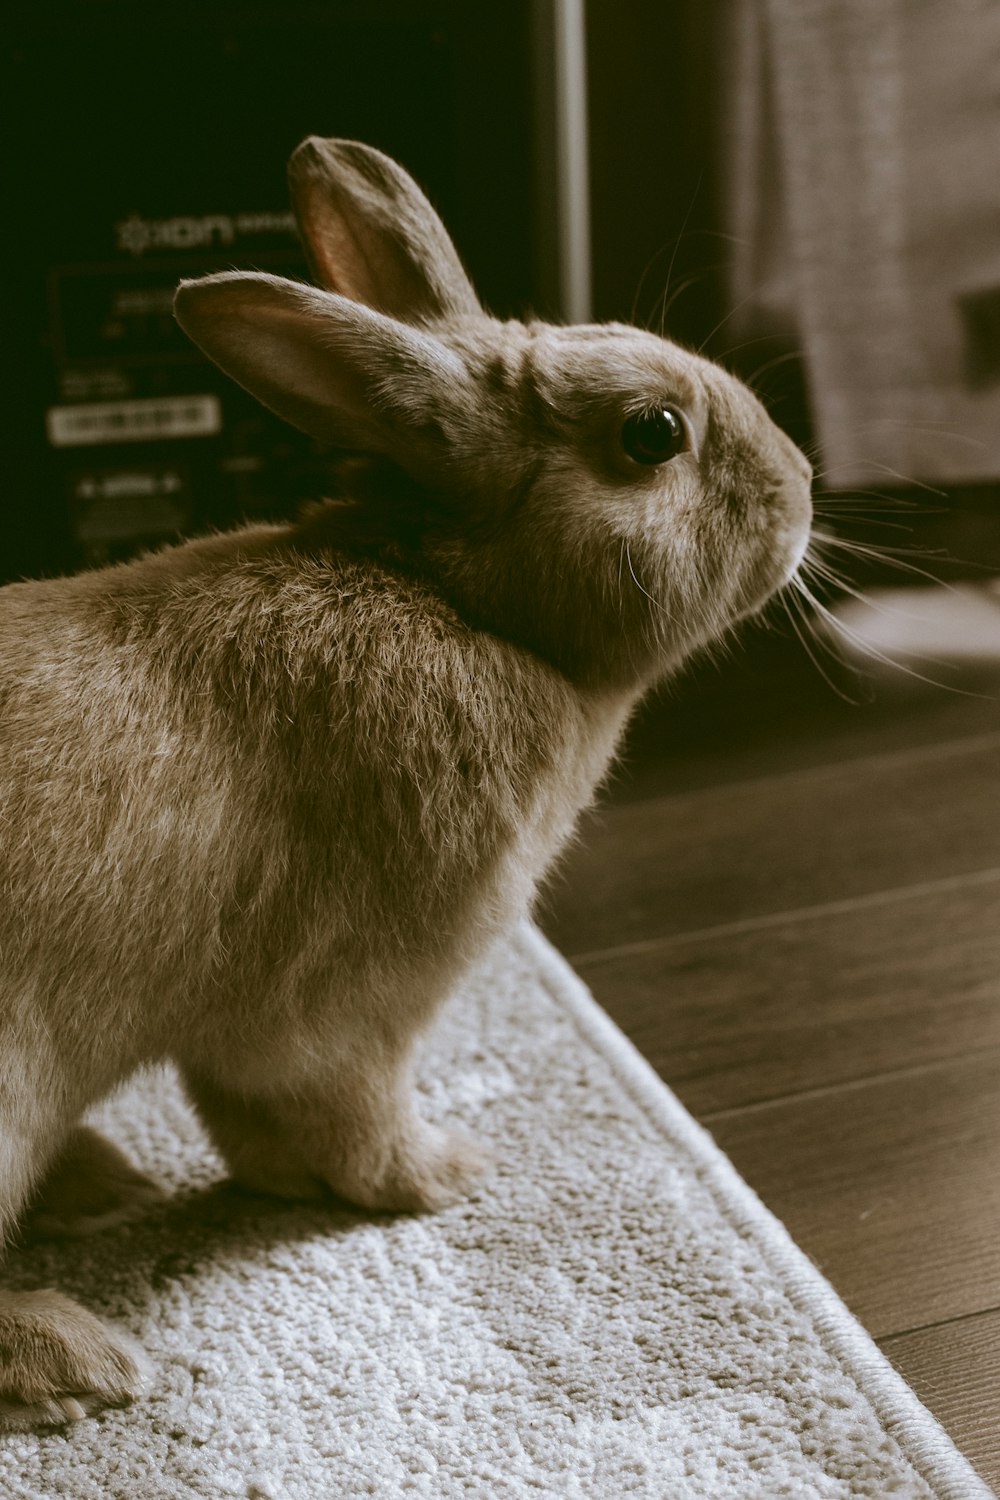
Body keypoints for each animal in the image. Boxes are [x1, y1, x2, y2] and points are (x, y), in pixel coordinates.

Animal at [0, 135, 815, 1422]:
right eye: (651, 435)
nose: (803, 489)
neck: (469, 604)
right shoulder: (351, 1002)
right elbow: (332, 1116)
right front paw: (443, 1179)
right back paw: (77, 1356)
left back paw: (100, 1191)